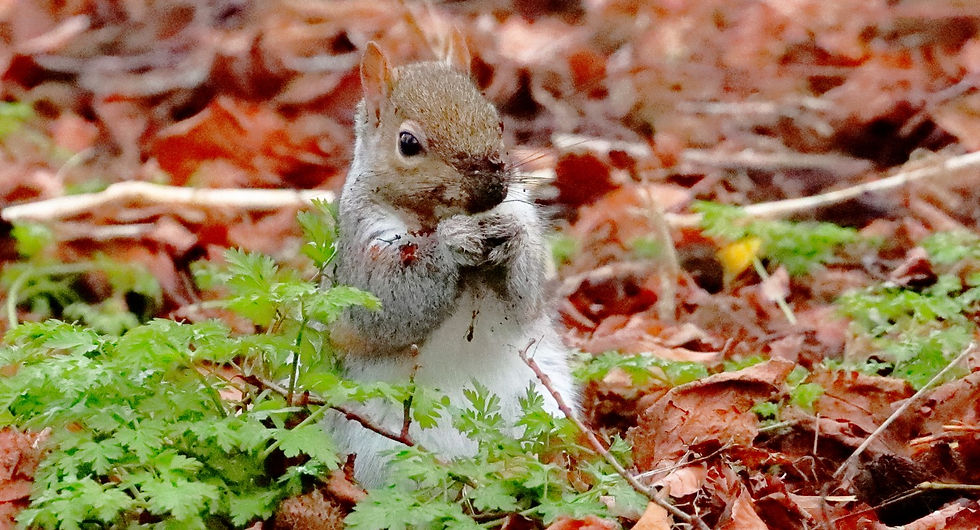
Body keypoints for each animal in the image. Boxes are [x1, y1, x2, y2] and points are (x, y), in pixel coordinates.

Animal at [326, 35, 577, 487]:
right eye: (408, 143)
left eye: (498, 123)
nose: (492, 188)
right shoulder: (361, 246)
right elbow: (384, 305)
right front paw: (451, 243)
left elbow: (529, 293)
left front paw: (510, 236)